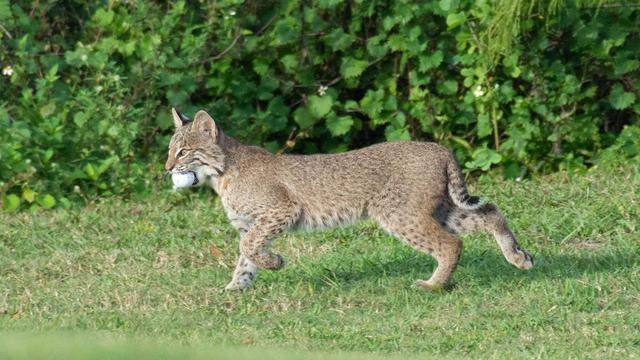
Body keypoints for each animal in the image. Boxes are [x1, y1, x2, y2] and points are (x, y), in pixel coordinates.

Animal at [165, 108, 536, 292]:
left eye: (182, 151)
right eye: (170, 150)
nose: (167, 167)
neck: (221, 174)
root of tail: (438, 147)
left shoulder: (280, 211)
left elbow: (249, 248)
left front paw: (275, 264)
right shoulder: (250, 224)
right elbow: (246, 255)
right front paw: (235, 289)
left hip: (399, 214)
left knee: (451, 243)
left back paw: (433, 286)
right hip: (441, 208)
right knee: (490, 211)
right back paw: (519, 258)